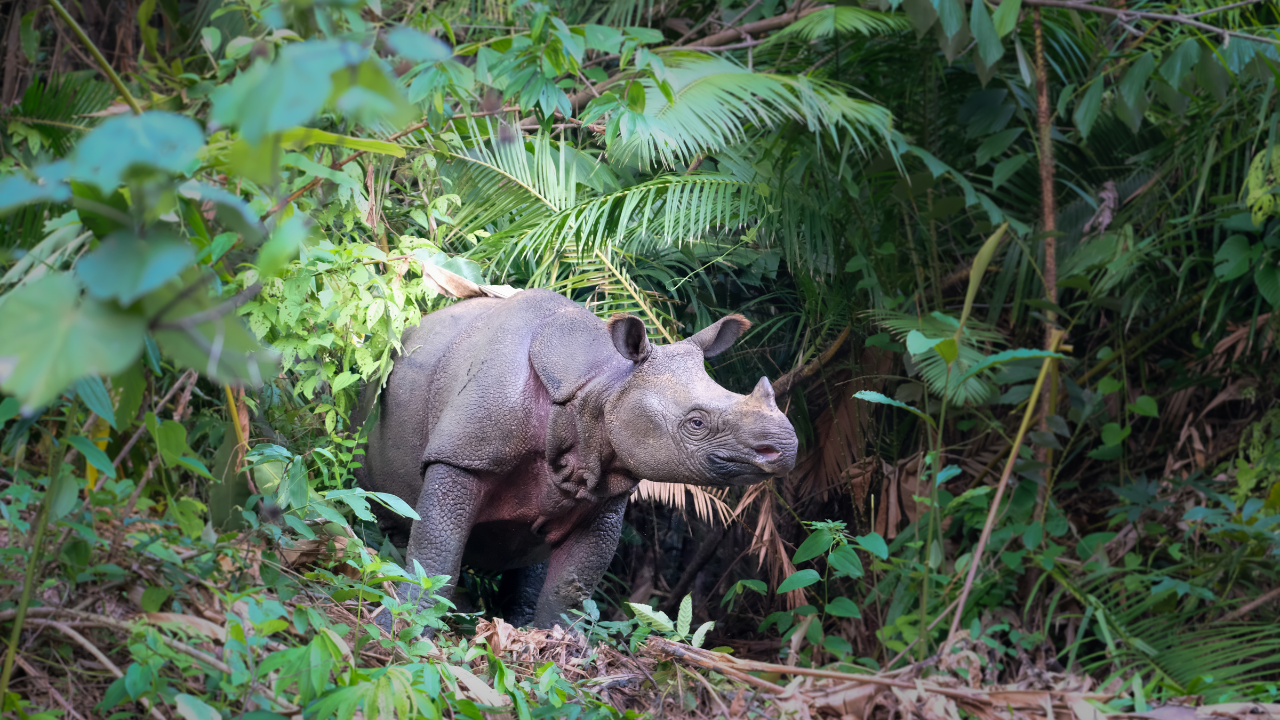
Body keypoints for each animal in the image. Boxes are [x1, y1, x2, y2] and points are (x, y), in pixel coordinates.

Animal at [355, 288, 793, 625]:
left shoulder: (604, 487)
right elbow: (435, 553)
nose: (786, 448)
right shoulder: (463, 454)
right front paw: (402, 625)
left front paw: (554, 646)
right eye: (697, 423)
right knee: (385, 513)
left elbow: (570, 589)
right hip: (372, 399)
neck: (602, 386)